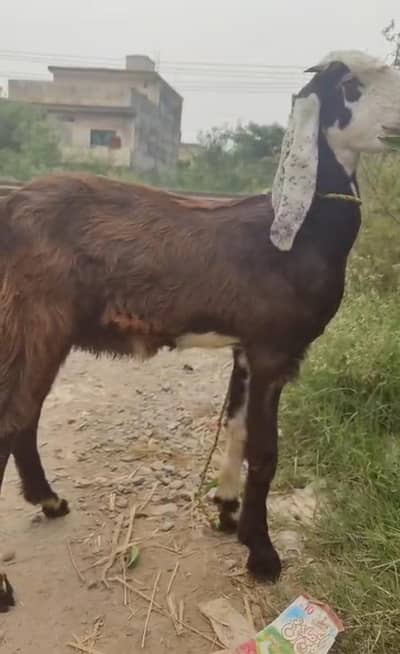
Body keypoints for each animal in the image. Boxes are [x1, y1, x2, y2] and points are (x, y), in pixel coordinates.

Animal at [1, 50, 400, 612]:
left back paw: (51, 500)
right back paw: (4, 585)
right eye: (349, 85)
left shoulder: (246, 348)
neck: (299, 234)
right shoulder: (274, 348)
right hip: (33, 318)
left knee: (24, 417)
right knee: (11, 419)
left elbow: (236, 427)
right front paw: (262, 555)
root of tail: (9, 208)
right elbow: (265, 451)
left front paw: (227, 511)